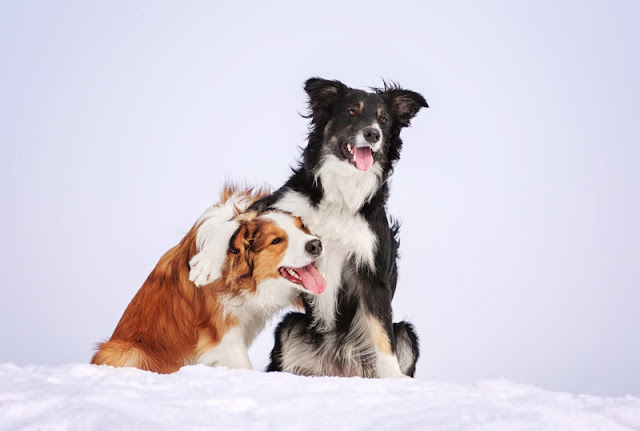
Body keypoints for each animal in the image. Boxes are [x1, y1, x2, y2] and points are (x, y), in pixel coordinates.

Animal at [91, 186, 324, 374]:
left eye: (302, 227)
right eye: (276, 240)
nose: (316, 244)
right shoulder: (222, 329)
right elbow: (243, 364)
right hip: (122, 351)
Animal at [251, 77, 430, 378]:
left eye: (384, 119)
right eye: (352, 111)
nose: (373, 134)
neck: (343, 192)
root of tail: (338, 370)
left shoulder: (372, 273)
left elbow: (383, 337)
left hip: (406, 333)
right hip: (289, 328)